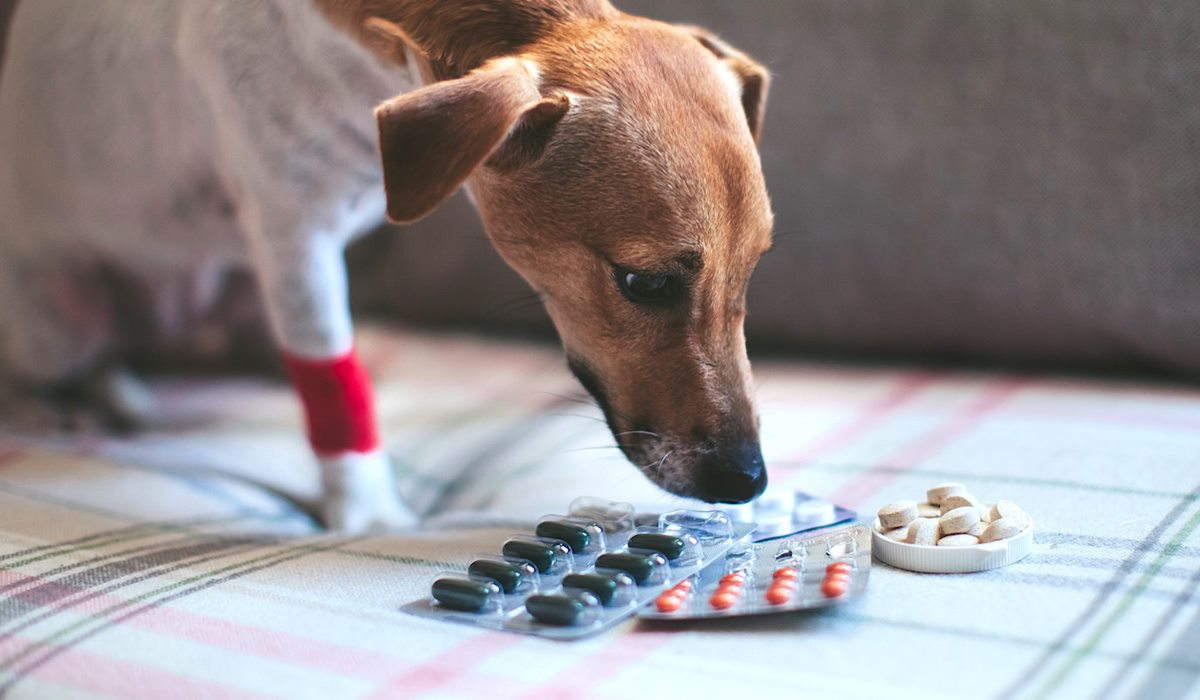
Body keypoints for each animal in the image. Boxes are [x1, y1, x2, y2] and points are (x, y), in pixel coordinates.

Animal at [0, 0, 777, 533]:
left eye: (752, 270)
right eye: (643, 283)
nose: (749, 482)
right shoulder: (295, 242)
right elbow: (331, 383)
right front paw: (368, 512)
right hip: (60, 318)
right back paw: (77, 400)